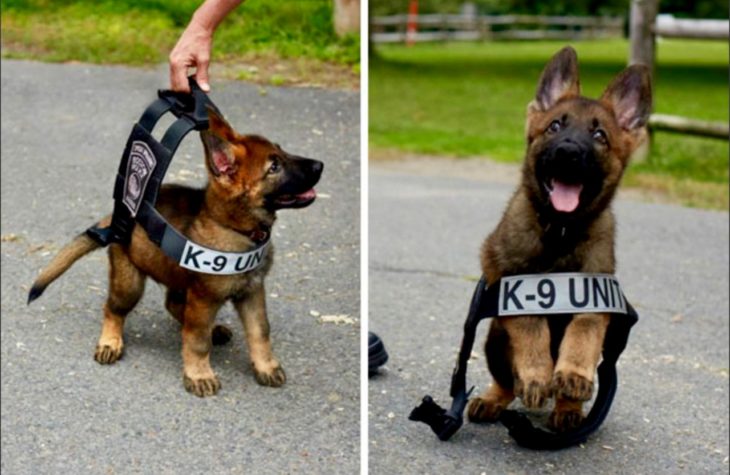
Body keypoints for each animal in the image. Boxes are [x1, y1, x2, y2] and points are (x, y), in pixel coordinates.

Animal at [28, 108, 322, 398]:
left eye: (282, 151)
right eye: (274, 167)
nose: (320, 165)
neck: (235, 228)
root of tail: (117, 216)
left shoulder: (252, 291)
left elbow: (260, 331)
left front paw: (266, 366)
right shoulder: (204, 299)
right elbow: (197, 341)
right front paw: (199, 374)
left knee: (173, 305)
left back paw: (213, 330)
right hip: (130, 283)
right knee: (114, 309)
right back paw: (110, 341)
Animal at [466, 47, 648, 432]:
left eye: (600, 136)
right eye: (554, 126)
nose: (568, 152)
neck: (561, 231)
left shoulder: (596, 295)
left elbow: (583, 332)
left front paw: (573, 375)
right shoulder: (512, 285)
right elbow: (532, 328)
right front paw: (537, 375)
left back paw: (568, 407)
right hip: (494, 339)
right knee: (506, 382)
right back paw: (495, 398)